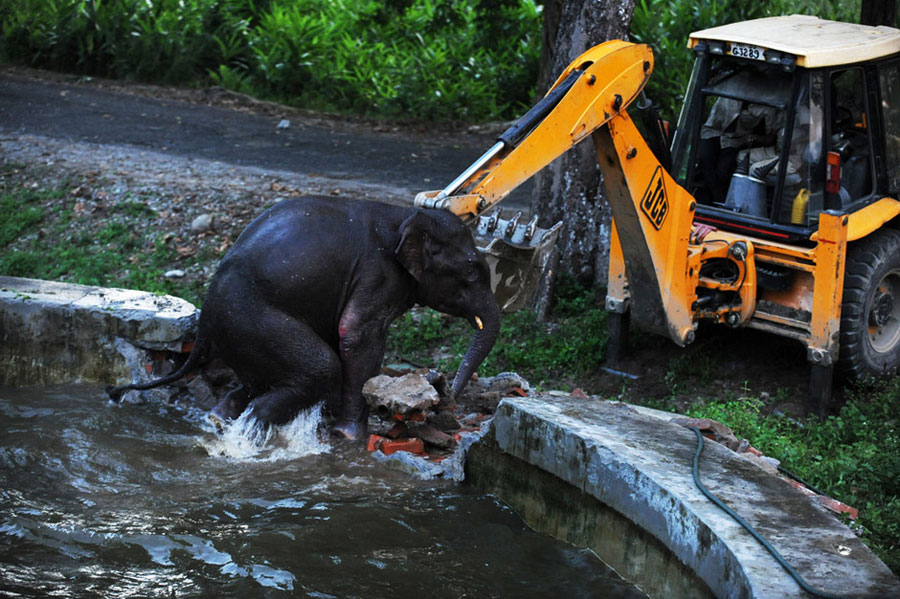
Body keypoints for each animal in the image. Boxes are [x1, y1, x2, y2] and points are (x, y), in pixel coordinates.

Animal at [107, 197, 500, 440]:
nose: (447, 393)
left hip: (240, 335)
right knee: (318, 369)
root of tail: (204, 323)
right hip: (253, 320)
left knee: (258, 380)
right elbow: (356, 334)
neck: (406, 214)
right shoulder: (378, 274)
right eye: (472, 270)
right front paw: (350, 436)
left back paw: (222, 417)